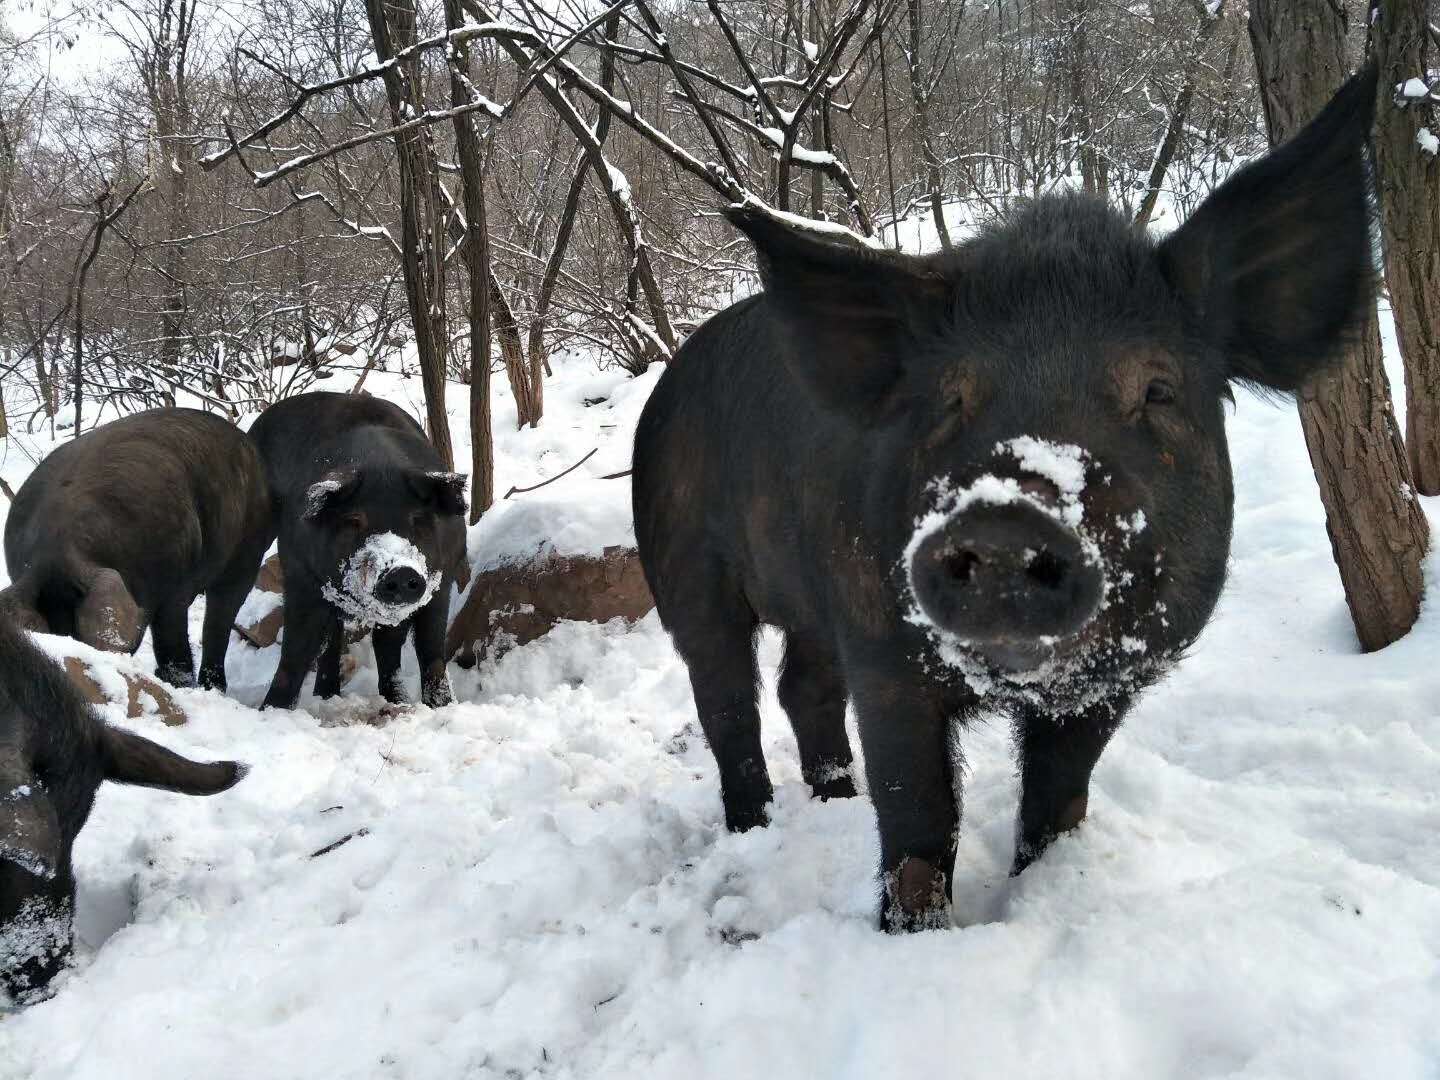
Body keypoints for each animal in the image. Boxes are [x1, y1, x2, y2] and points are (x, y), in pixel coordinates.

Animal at [247, 394, 466, 714]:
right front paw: (270, 712)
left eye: (418, 519)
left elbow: (432, 653)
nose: (400, 570)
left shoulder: (442, 581)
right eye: (353, 521)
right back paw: (327, 697)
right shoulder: (302, 575)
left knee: (378, 645)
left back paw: (386, 700)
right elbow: (295, 652)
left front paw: (441, 707)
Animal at [636, 67, 1376, 933]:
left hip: (809, 598)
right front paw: (910, 937)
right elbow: (918, 822)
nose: (1004, 520)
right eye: (951, 398)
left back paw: (834, 803)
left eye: (1157, 390)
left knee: (802, 688)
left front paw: (1045, 884)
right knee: (727, 700)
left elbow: (1058, 801)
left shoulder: (1104, 686)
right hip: (683, 566)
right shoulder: (884, 651)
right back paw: (755, 828)